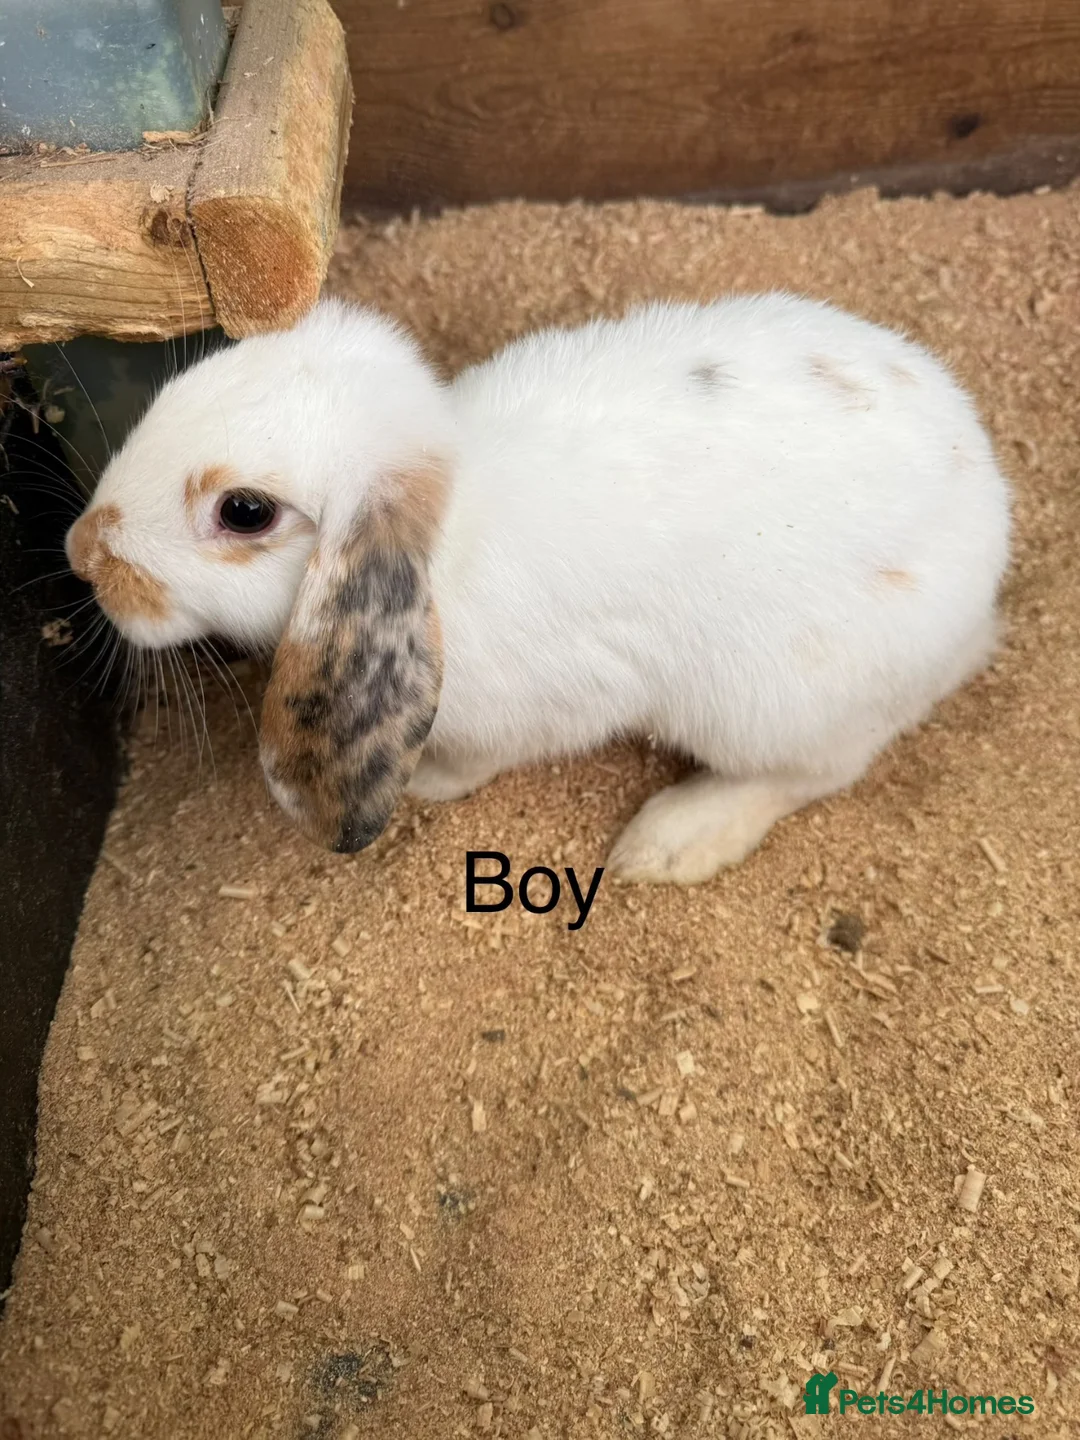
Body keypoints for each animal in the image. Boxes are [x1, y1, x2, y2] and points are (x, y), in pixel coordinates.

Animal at [65, 293, 1010, 884]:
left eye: (246, 511)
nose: (81, 553)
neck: (447, 537)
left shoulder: (545, 707)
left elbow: (475, 761)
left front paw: (426, 784)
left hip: (777, 708)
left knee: (807, 774)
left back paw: (671, 841)